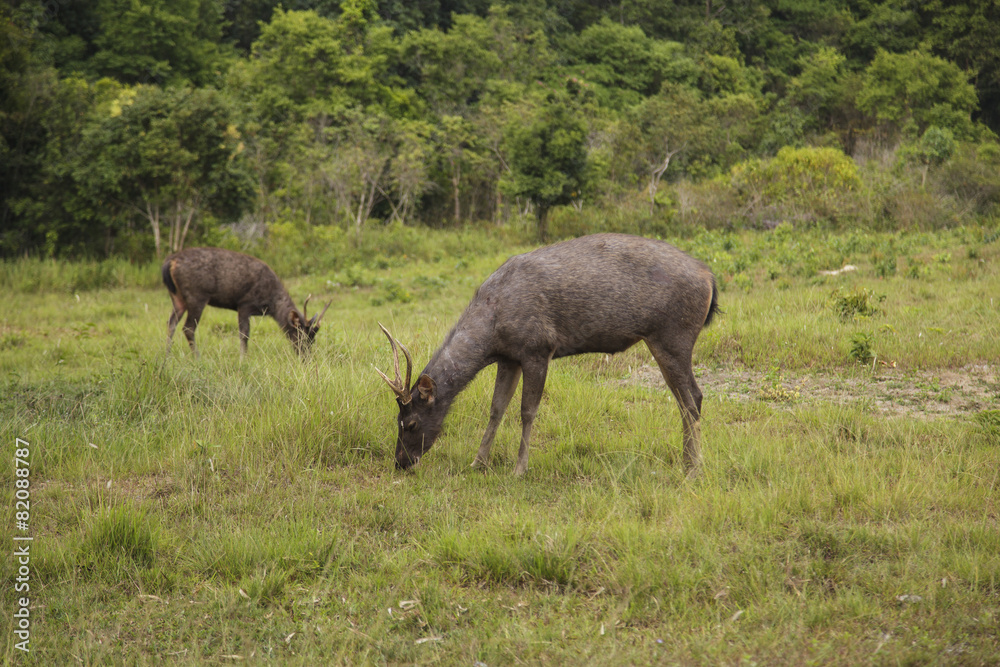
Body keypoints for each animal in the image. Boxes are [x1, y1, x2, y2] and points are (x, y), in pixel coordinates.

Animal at [161, 248, 332, 358]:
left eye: (313, 339)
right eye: (300, 335)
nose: (306, 357)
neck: (271, 305)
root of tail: (170, 262)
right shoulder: (244, 304)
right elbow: (244, 334)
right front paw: (243, 359)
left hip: (177, 297)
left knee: (171, 323)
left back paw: (166, 357)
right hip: (196, 295)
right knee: (188, 327)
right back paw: (197, 358)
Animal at [376, 232, 720, 478]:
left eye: (411, 424)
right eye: (396, 419)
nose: (401, 462)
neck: (492, 330)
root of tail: (709, 277)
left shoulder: (537, 348)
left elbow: (527, 411)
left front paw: (519, 468)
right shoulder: (509, 357)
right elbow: (496, 409)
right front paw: (478, 462)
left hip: (673, 335)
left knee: (692, 398)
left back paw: (693, 469)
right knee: (686, 399)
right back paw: (687, 463)